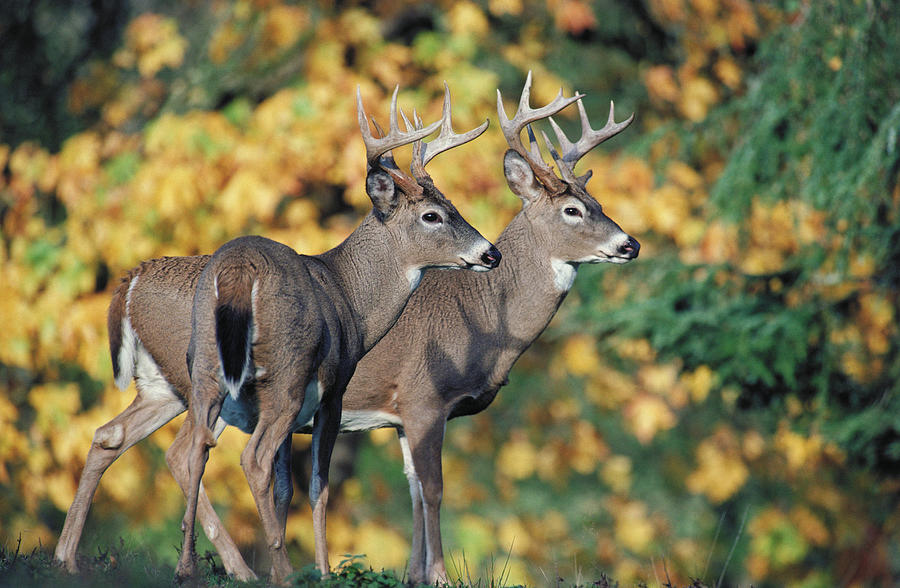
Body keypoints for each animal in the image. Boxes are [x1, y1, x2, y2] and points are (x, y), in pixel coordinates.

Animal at [51, 82, 500, 584]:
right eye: (432, 216)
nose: (491, 253)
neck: (350, 297)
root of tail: (237, 271)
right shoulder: (332, 388)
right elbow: (318, 485)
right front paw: (323, 570)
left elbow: (286, 485)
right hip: (283, 370)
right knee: (249, 457)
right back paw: (277, 571)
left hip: (200, 368)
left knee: (173, 447)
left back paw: (150, 564)